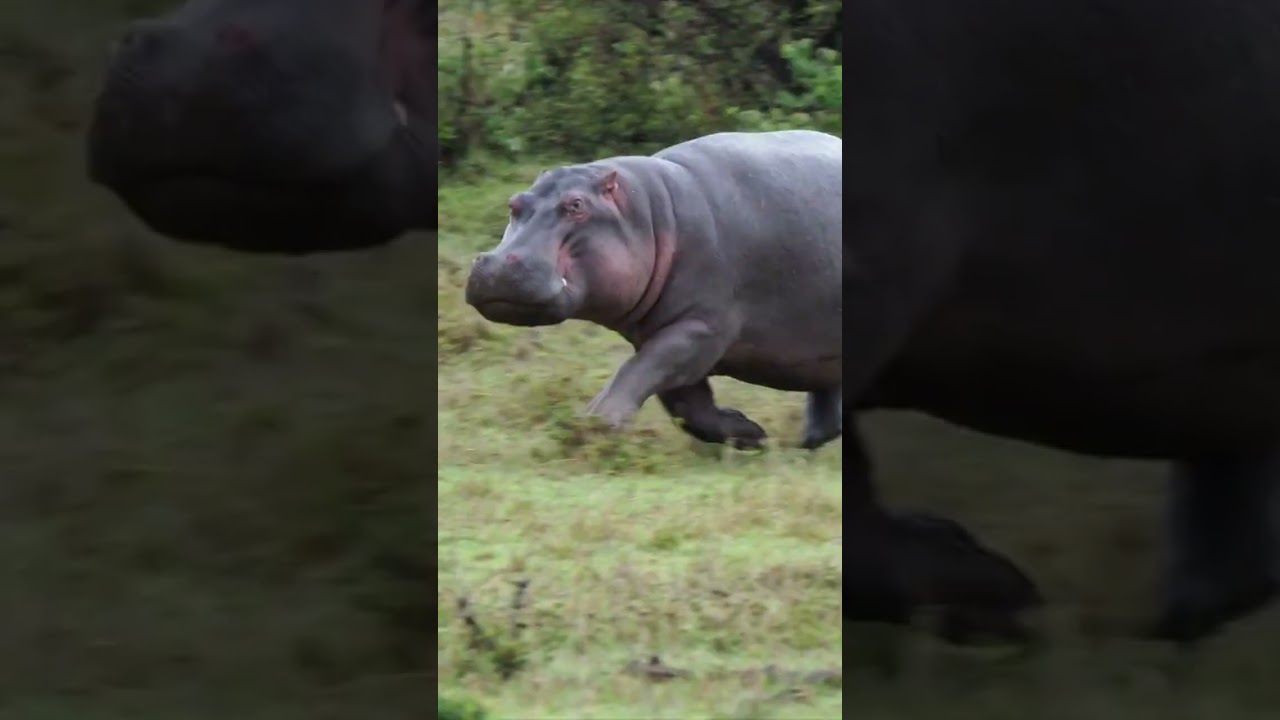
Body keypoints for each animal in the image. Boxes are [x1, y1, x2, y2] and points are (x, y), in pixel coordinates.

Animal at [463, 130, 842, 450]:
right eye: (514, 203)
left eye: (576, 205)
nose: (497, 265)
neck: (650, 215)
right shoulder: (659, 334)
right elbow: (686, 406)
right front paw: (751, 434)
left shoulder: (700, 328)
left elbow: (639, 371)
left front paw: (594, 425)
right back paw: (806, 443)